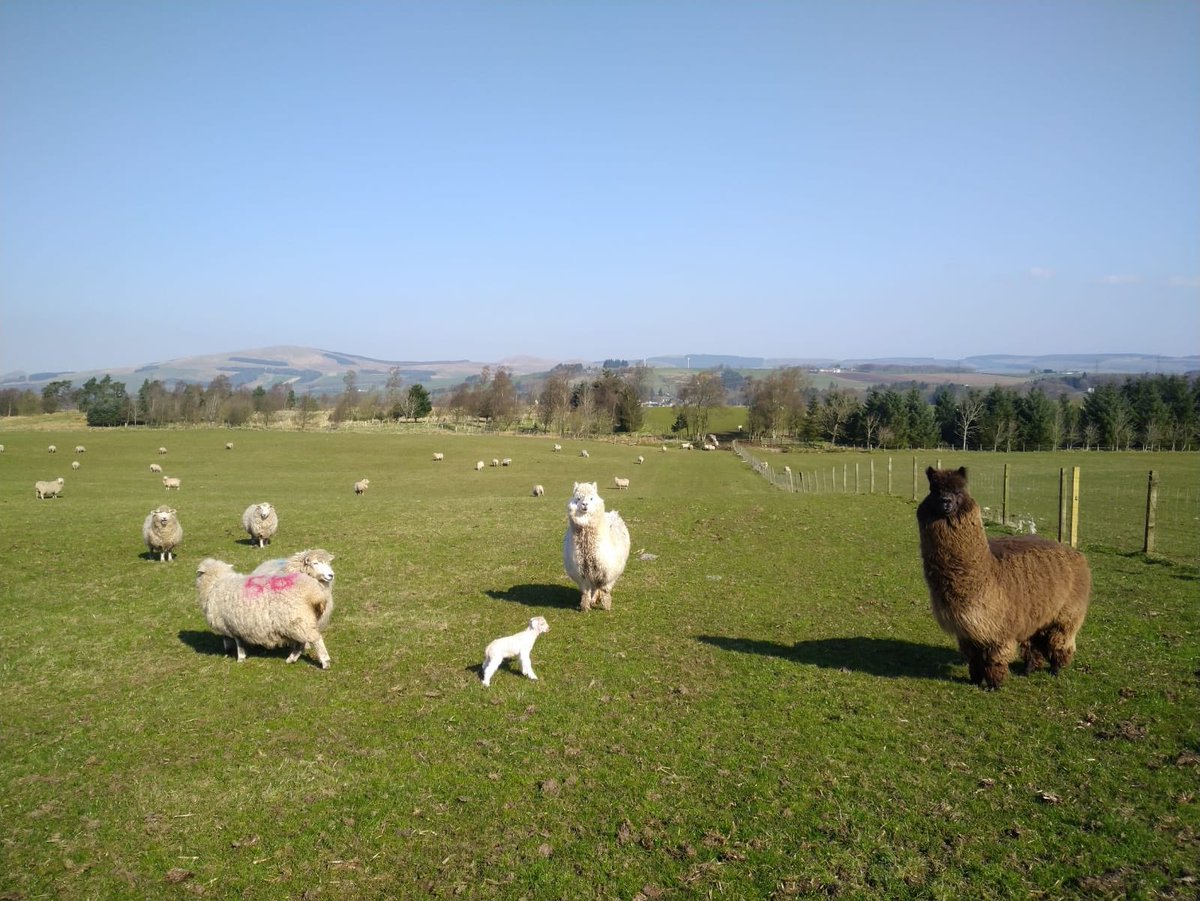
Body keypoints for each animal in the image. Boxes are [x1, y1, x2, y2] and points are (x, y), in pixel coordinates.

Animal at [195, 558, 332, 669]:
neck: (215, 583)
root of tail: (313, 592)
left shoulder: (230, 623)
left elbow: (236, 642)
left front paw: (239, 658)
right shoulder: (232, 623)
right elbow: (230, 639)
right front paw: (230, 653)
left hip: (298, 619)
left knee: (316, 640)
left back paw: (325, 662)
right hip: (298, 621)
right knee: (301, 643)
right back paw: (291, 659)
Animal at [563, 481, 631, 612]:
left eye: (591, 498)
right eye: (578, 498)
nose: (584, 504)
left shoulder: (608, 573)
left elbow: (605, 591)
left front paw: (607, 606)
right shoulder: (581, 574)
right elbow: (585, 592)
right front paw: (585, 607)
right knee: (594, 587)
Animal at [918, 466, 1092, 690]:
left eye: (959, 491)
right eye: (934, 490)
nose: (946, 501)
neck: (987, 576)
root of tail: (1075, 553)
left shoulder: (999, 629)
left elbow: (995, 659)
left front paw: (994, 685)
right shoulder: (968, 631)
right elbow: (974, 659)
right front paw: (975, 680)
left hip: (1067, 612)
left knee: (1060, 639)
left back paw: (1056, 669)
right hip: (1036, 611)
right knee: (1034, 642)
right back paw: (1029, 669)